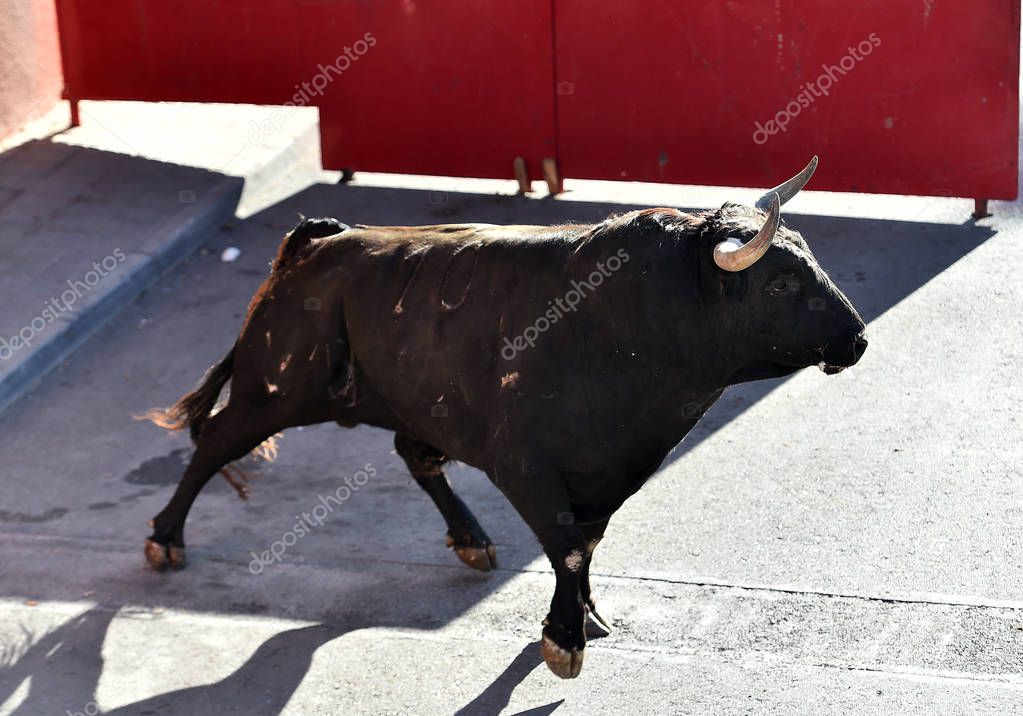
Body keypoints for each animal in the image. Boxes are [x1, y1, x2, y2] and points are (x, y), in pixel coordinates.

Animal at [144, 187, 863, 679]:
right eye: (779, 282)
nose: (856, 339)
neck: (633, 323)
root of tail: (321, 242)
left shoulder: (610, 470)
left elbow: (586, 543)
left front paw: (588, 616)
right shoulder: (525, 468)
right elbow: (567, 548)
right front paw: (563, 641)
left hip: (399, 400)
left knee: (414, 453)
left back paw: (470, 541)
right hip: (273, 388)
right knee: (215, 442)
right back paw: (164, 542)